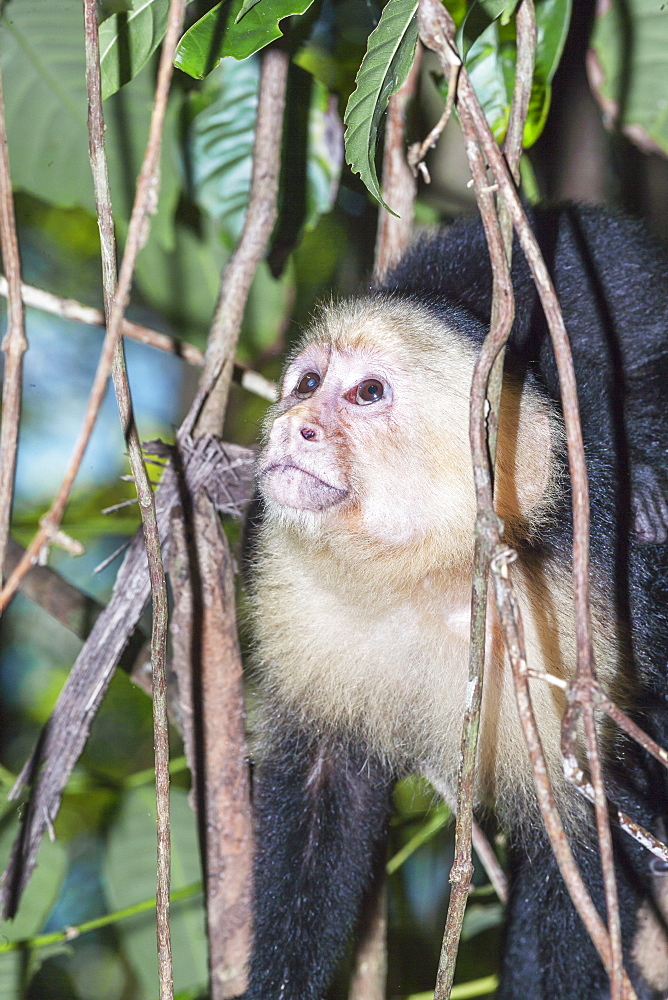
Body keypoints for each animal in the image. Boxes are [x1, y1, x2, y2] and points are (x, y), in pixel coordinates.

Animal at [243, 205, 668, 1000]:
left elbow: (586, 852)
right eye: (307, 382)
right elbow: (324, 790)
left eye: (367, 394)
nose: (293, 424)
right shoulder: (292, 589)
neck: (428, 571)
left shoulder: (568, 610)